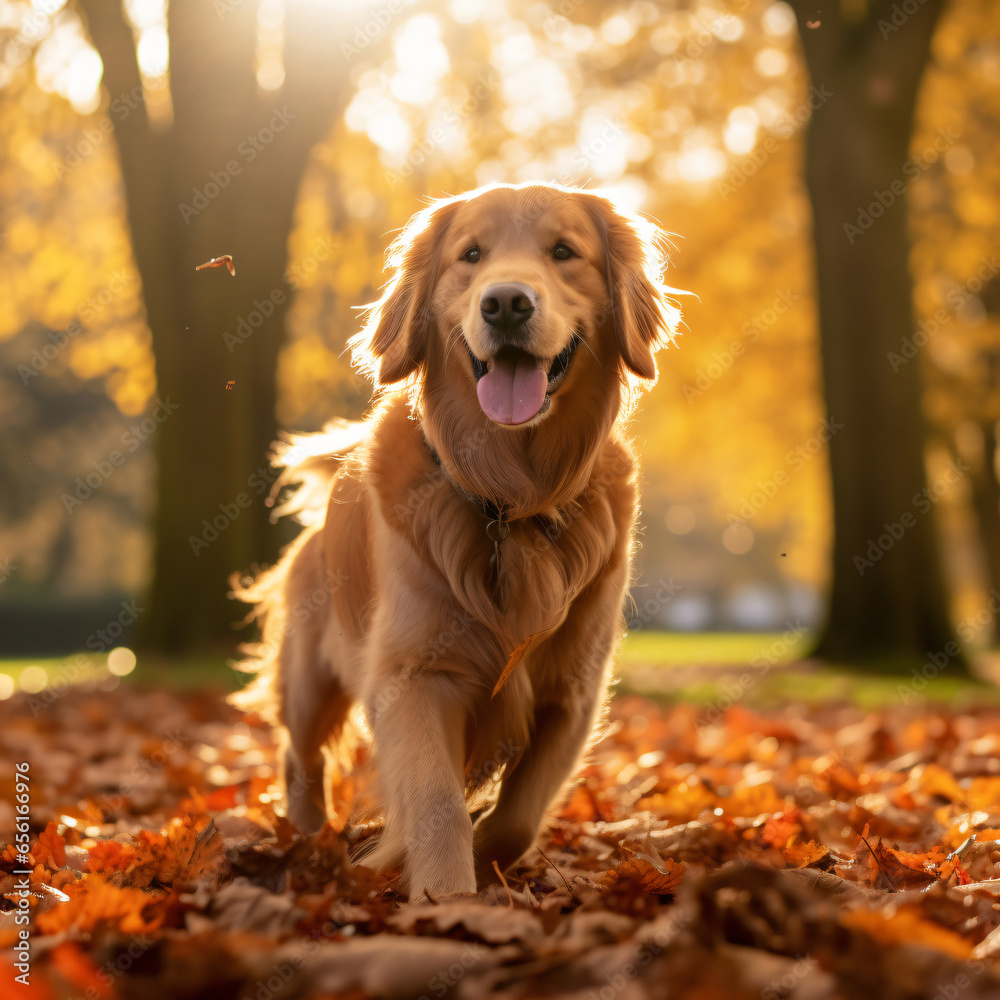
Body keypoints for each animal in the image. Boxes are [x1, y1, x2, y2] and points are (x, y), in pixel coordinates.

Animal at [234, 180, 680, 900]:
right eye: (471, 255)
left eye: (564, 252)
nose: (505, 303)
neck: (511, 499)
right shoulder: (415, 673)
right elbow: (437, 802)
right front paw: (444, 898)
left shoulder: (572, 692)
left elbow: (519, 816)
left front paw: (465, 864)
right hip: (307, 679)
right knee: (298, 756)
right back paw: (306, 840)